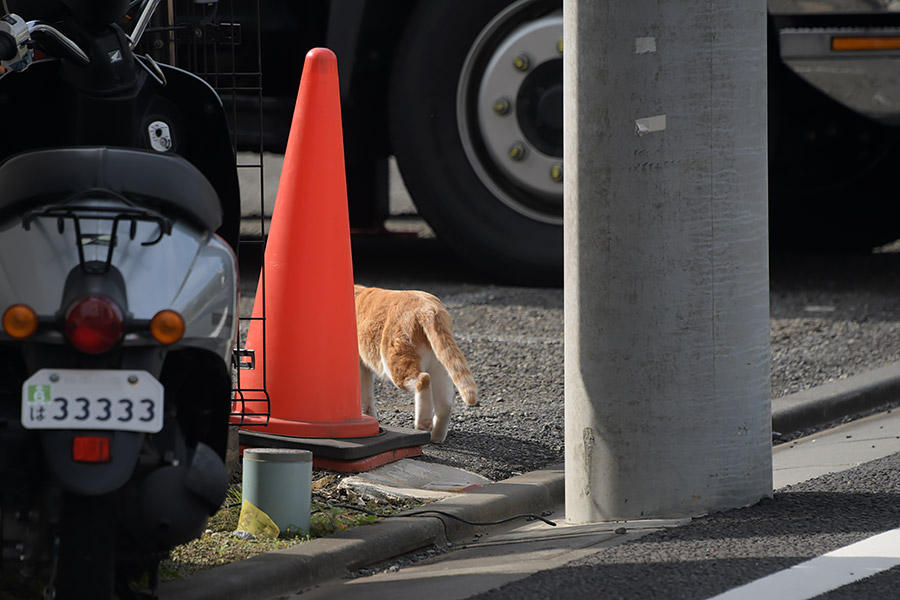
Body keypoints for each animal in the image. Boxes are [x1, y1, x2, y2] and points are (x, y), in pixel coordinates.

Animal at [354, 284, 478, 442]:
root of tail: (429, 308)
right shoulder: (363, 367)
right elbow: (366, 395)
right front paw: (370, 417)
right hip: (439, 366)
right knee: (445, 402)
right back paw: (436, 437)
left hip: (395, 362)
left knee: (423, 379)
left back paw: (423, 423)